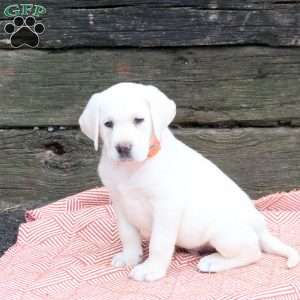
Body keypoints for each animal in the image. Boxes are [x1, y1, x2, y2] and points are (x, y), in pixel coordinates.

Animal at [78, 82, 298, 282]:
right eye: (108, 124)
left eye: (138, 120)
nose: (123, 148)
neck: (131, 169)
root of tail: (261, 228)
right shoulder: (120, 204)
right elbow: (128, 235)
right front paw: (130, 257)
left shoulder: (166, 207)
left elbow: (159, 242)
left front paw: (151, 269)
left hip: (223, 233)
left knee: (253, 252)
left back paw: (214, 262)